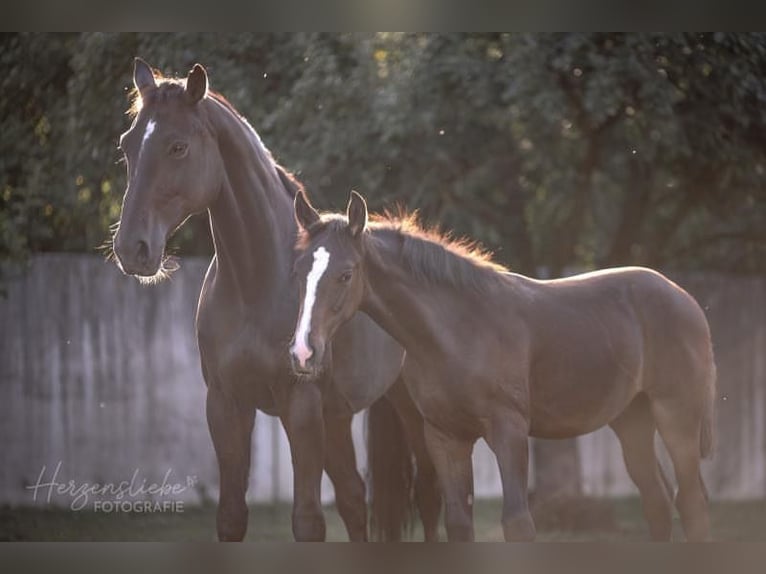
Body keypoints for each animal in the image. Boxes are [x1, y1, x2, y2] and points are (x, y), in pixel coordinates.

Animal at [111, 60, 440, 544]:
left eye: (178, 147)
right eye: (127, 145)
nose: (131, 248)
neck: (256, 286)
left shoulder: (299, 407)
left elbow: (307, 521)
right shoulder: (226, 405)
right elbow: (231, 515)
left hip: (412, 411)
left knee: (430, 497)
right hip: (338, 418)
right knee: (354, 498)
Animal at [288, 191, 720, 544]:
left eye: (346, 274)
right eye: (298, 272)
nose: (303, 353)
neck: (457, 330)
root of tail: (684, 299)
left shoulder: (508, 430)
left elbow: (518, 524)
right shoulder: (445, 438)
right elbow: (458, 523)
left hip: (676, 415)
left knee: (692, 504)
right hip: (632, 420)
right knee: (658, 503)